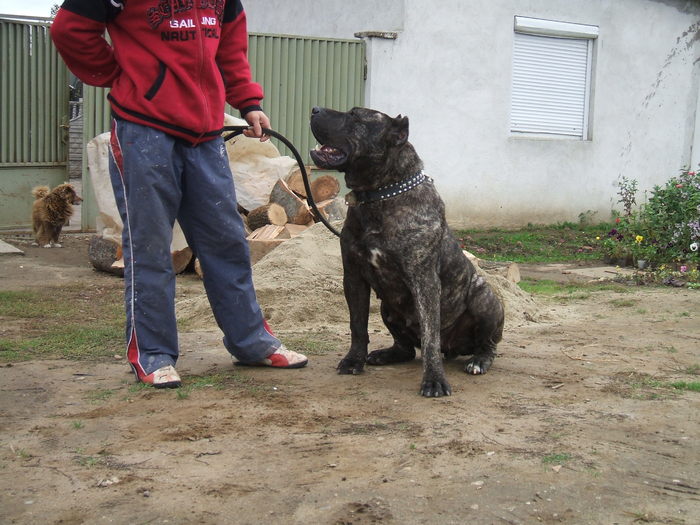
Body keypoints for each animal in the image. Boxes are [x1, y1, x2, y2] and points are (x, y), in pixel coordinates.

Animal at [310, 104, 504, 396]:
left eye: (355, 115)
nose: (314, 109)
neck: (381, 195)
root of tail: (453, 348)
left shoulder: (425, 281)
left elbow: (430, 337)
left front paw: (434, 380)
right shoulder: (354, 277)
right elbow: (358, 325)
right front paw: (354, 360)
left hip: (485, 298)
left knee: (485, 344)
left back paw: (479, 361)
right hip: (387, 307)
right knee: (406, 348)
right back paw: (385, 355)